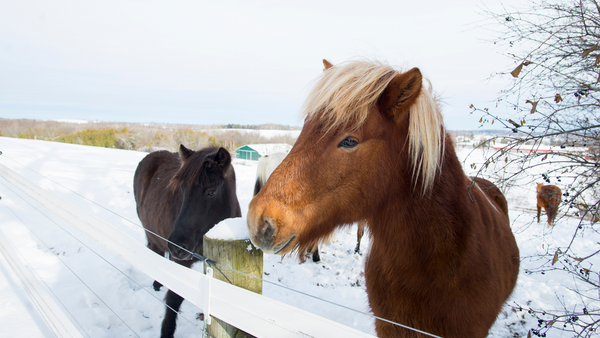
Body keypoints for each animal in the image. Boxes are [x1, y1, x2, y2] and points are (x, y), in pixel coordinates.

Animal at [134, 145, 241, 338]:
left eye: (211, 191)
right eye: (182, 189)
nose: (176, 246)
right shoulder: (180, 261)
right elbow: (174, 298)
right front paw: (166, 332)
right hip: (153, 236)